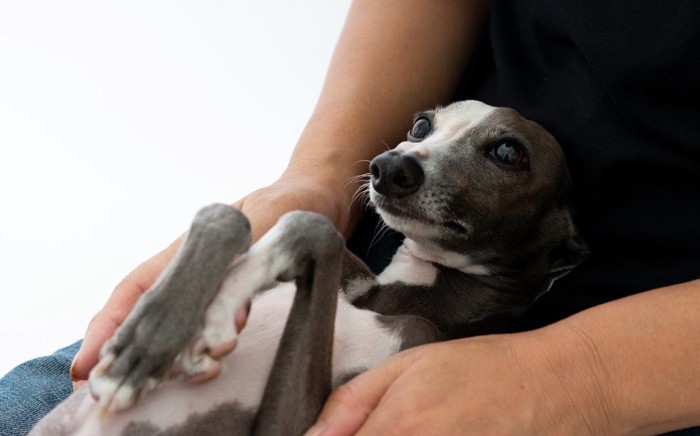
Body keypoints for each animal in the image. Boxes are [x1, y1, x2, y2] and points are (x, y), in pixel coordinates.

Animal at [30, 99, 588, 436]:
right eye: (421, 125)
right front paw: (146, 341)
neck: (403, 295)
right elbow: (239, 214)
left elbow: (314, 226)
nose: (389, 167)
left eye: (508, 151)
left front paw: (217, 311)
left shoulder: (292, 422)